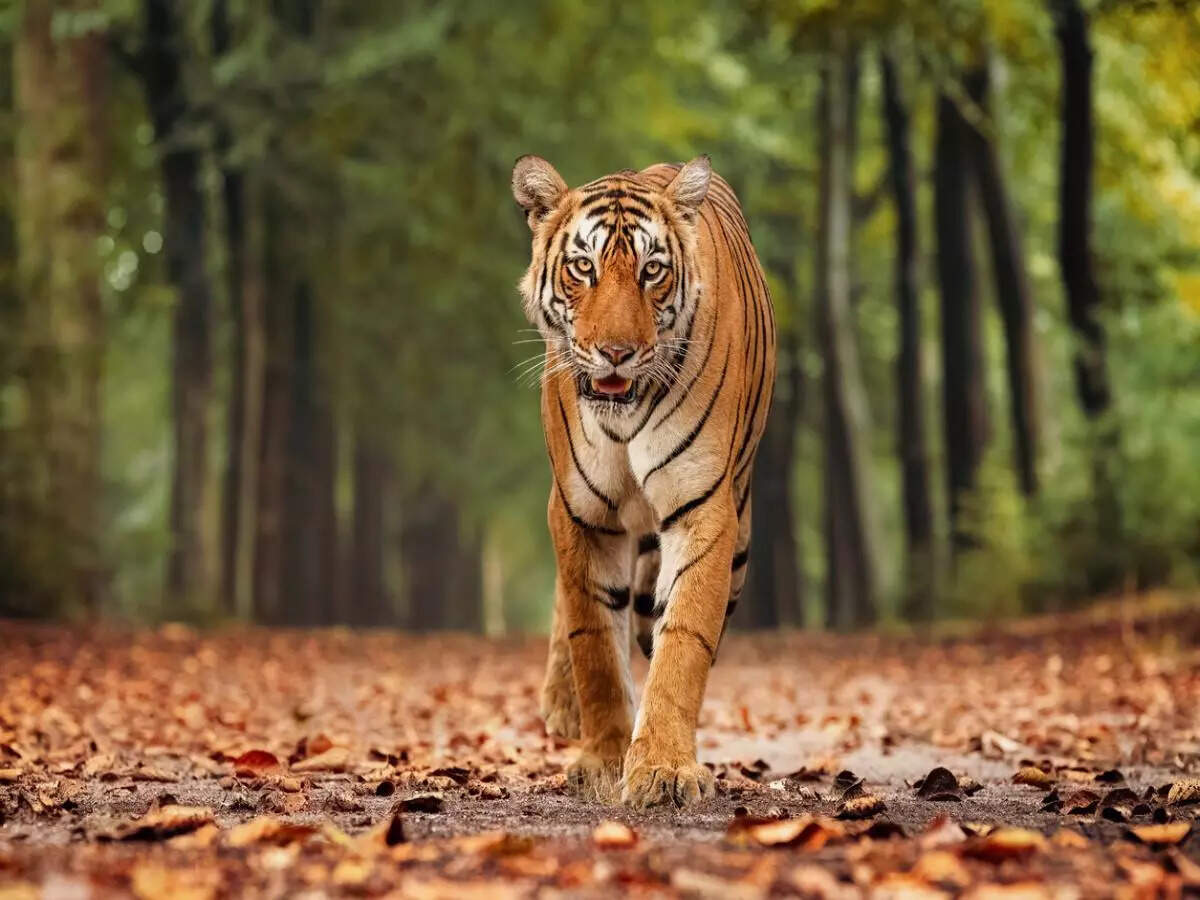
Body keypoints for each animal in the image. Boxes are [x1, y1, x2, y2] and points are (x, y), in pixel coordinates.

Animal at [511, 155, 775, 808]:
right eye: (583, 267)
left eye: (651, 270)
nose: (616, 352)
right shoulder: (578, 512)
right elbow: (595, 646)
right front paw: (603, 760)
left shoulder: (703, 508)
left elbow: (682, 641)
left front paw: (662, 767)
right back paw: (561, 708)